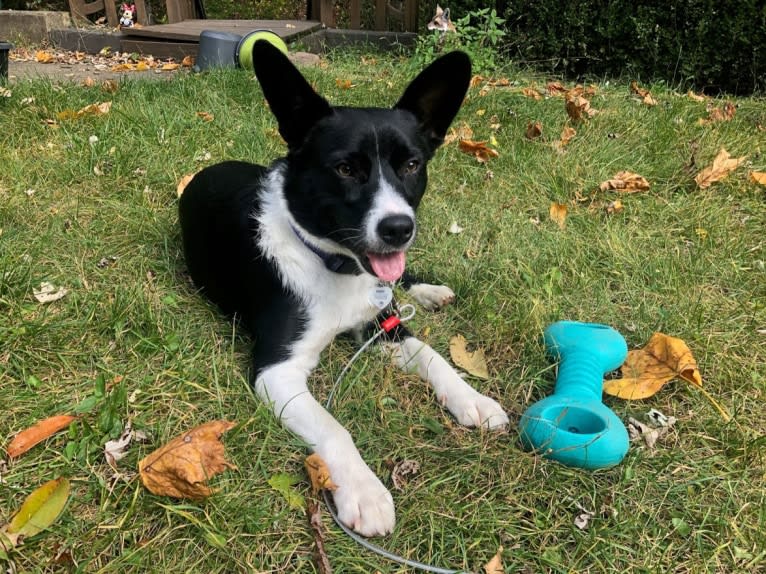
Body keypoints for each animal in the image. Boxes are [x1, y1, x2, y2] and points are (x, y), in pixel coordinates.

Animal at [179, 41, 510, 540]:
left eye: (412, 164)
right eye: (345, 168)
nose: (398, 229)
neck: (331, 263)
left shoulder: (383, 327)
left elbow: (435, 357)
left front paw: (473, 399)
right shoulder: (277, 371)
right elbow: (334, 428)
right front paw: (365, 492)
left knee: (403, 282)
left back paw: (428, 290)